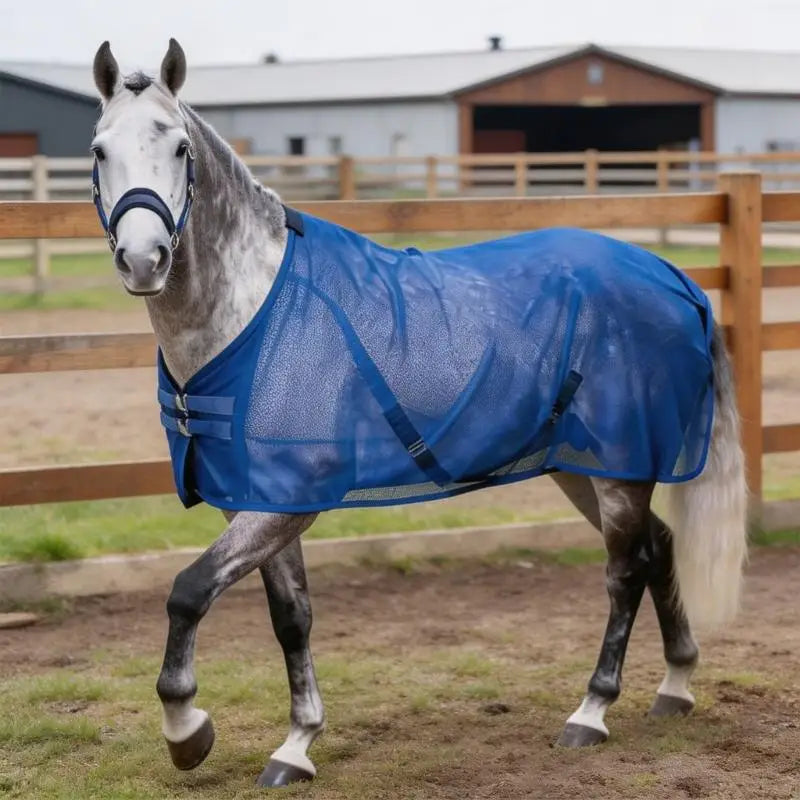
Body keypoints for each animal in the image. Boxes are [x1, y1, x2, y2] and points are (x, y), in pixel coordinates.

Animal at [89, 38, 748, 788]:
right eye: (100, 150)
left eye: (176, 147)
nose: (144, 259)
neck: (251, 313)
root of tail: (673, 277)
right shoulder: (259, 503)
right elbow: (291, 616)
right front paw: (296, 745)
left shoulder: (286, 503)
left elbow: (188, 591)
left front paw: (187, 731)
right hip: (583, 466)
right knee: (659, 547)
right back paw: (676, 685)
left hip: (618, 469)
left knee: (625, 572)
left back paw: (592, 711)